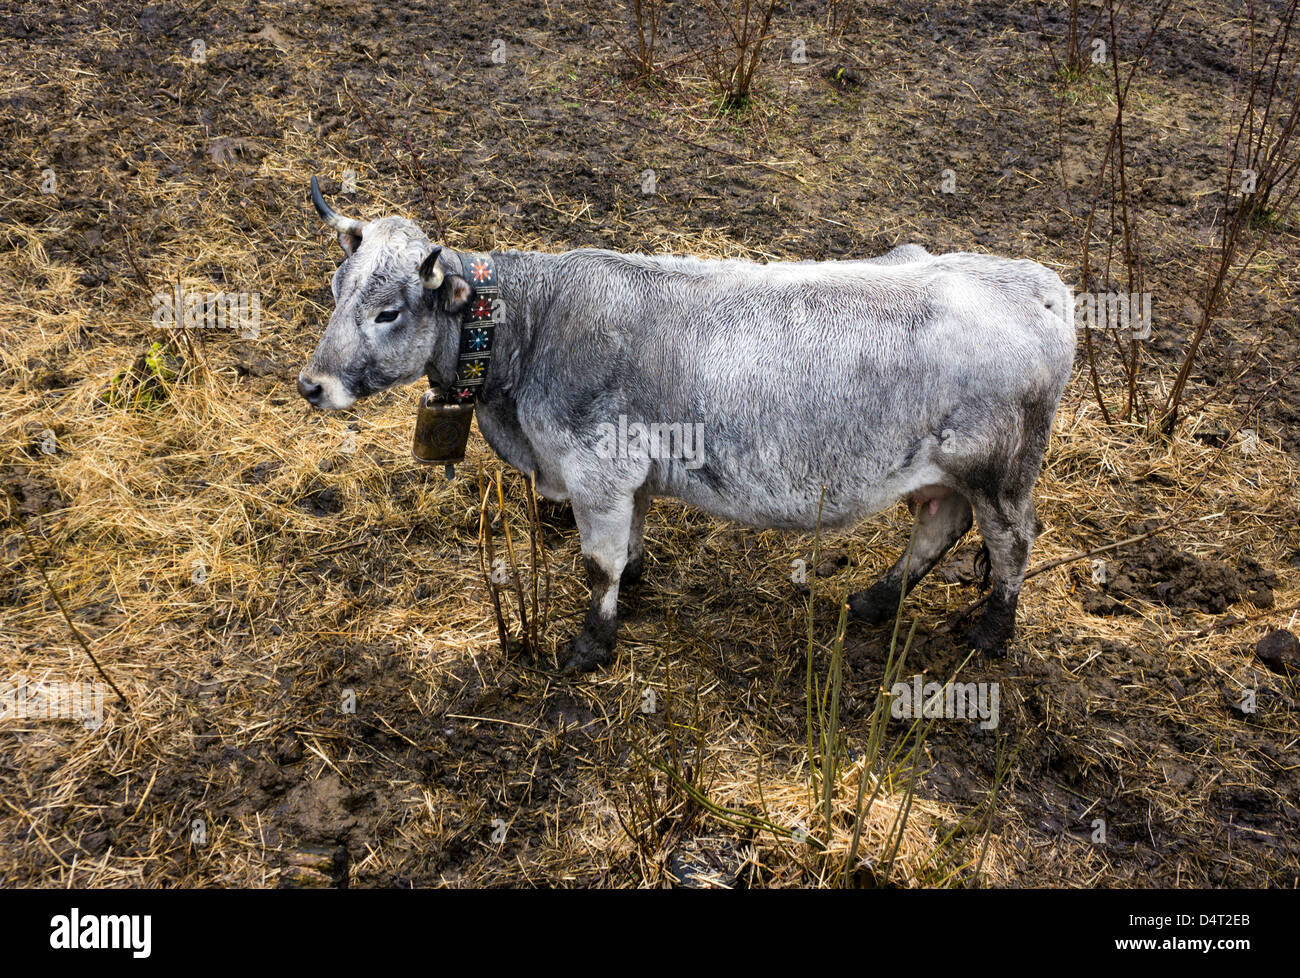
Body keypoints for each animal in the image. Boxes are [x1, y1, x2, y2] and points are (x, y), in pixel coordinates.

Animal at [299, 179, 1075, 673]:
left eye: (388, 311)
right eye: (337, 290)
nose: (312, 385)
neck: (534, 324)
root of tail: (1036, 283)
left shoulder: (597, 471)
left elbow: (596, 564)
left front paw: (592, 645)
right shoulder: (629, 474)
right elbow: (629, 546)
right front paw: (636, 587)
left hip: (1001, 472)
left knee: (1012, 542)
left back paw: (991, 632)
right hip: (942, 471)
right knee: (941, 525)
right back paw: (878, 600)